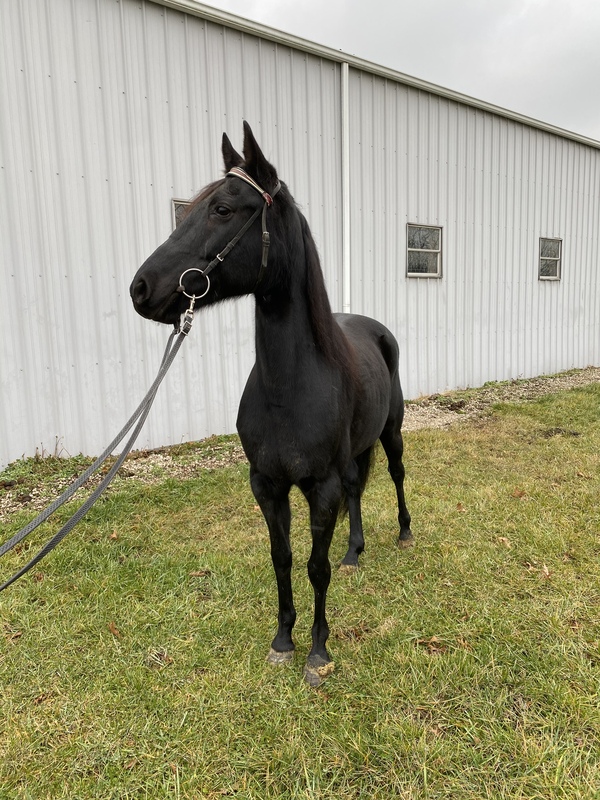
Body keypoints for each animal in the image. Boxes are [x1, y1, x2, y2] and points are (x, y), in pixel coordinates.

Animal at [130, 122, 412, 686]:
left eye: (222, 209)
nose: (141, 288)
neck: (289, 390)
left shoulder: (319, 486)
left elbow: (314, 567)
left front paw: (318, 651)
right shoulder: (266, 484)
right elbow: (282, 559)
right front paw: (283, 639)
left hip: (389, 433)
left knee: (394, 473)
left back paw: (405, 533)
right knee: (358, 488)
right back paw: (355, 551)